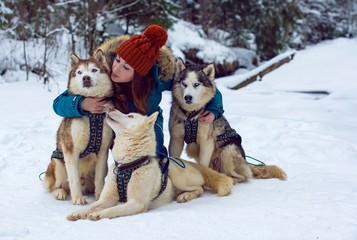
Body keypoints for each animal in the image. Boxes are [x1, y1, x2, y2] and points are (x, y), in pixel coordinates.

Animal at [43, 50, 112, 204]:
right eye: (79, 72)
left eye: (94, 70)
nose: (86, 78)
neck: (91, 115)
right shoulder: (70, 150)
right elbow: (73, 177)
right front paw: (77, 198)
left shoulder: (103, 150)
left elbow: (99, 178)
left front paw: (100, 196)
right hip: (57, 163)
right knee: (55, 185)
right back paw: (60, 192)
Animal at [67, 109, 234, 220]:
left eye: (130, 116)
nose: (109, 108)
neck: (128, 165)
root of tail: (187, 162)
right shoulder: (106, 199)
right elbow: (92, 205)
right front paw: (78, 212)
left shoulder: (136, 203)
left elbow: (114, 209)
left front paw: (99, 214)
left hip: (178, 177)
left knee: (199, 188)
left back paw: (185, 196)